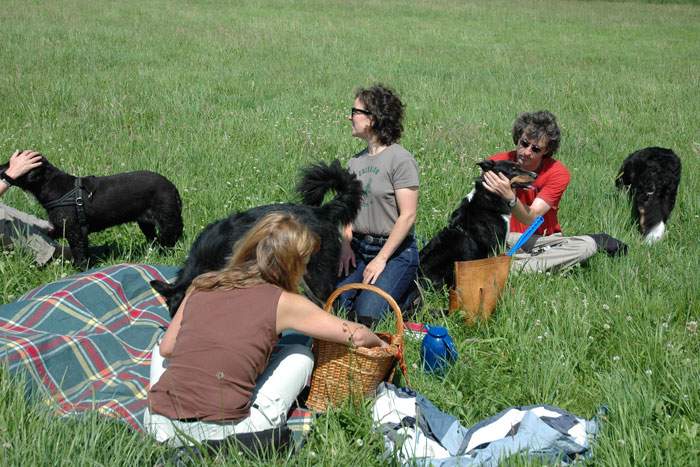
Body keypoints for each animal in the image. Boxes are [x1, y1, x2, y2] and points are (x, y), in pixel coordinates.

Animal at [0, 156, 183, 268]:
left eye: (11, 163)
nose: (1, 168)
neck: (51, 186)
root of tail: (171, 186)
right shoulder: (63, 227)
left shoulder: (75, 231)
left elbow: (79, 252)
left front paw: (81, 269)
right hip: (146, 223)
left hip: (167, 221)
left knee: (170, 238)